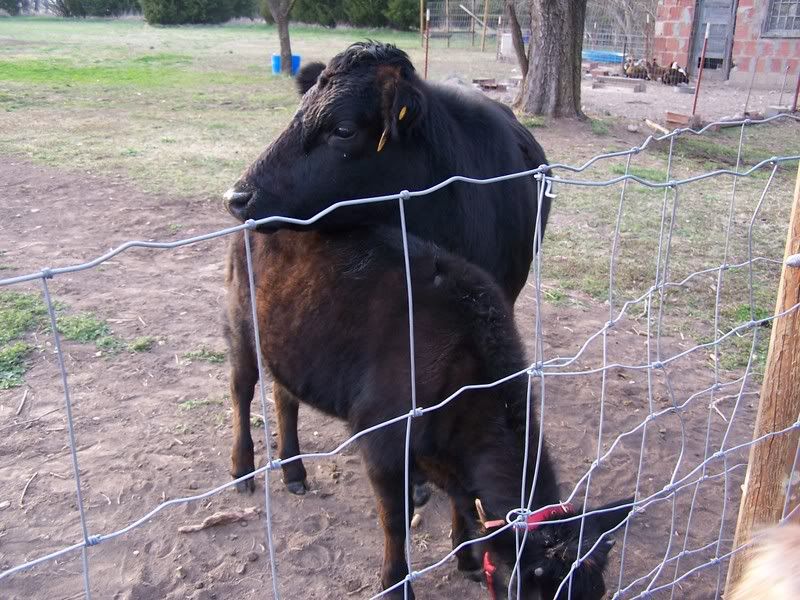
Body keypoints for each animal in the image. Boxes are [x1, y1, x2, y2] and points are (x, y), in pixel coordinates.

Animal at [222, 41, 552, 499]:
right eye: (297, 113)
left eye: (343, 130)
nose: (237, 197)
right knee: (242, 384)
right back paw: (243, 466)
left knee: (279, 386)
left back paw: (293, 470)